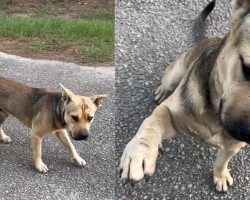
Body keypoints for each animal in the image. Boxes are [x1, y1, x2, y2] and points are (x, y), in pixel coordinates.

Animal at [118, 0, 250, 192]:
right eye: (246, 67)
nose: (245, 133)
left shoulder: (233, 146)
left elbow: (222, 161)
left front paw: (220, 175)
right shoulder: (171, 116)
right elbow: (154, 119)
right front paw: (140, 151)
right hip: (175, 72)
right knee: (166, 85)